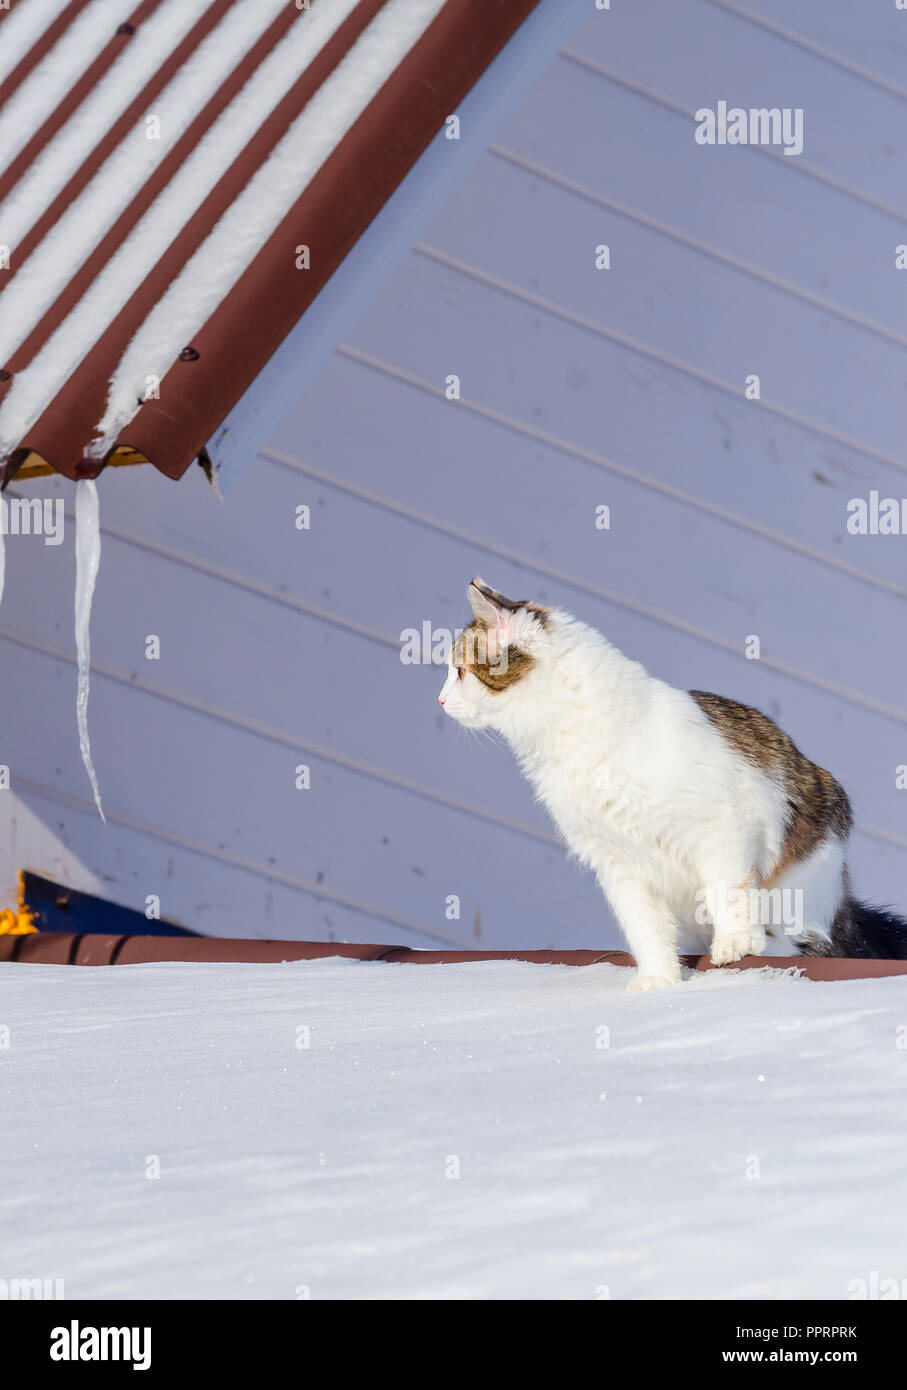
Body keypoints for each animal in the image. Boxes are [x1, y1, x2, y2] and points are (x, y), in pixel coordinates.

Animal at [438, 575, 905, 989]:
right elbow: (645, 928)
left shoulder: (721, 827)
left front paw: (736, 943)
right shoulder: (617, 862)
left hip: (802, 877)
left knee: (812, 943)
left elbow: (729, 891)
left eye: (459, 672)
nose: (440, 700)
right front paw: (659, 980)